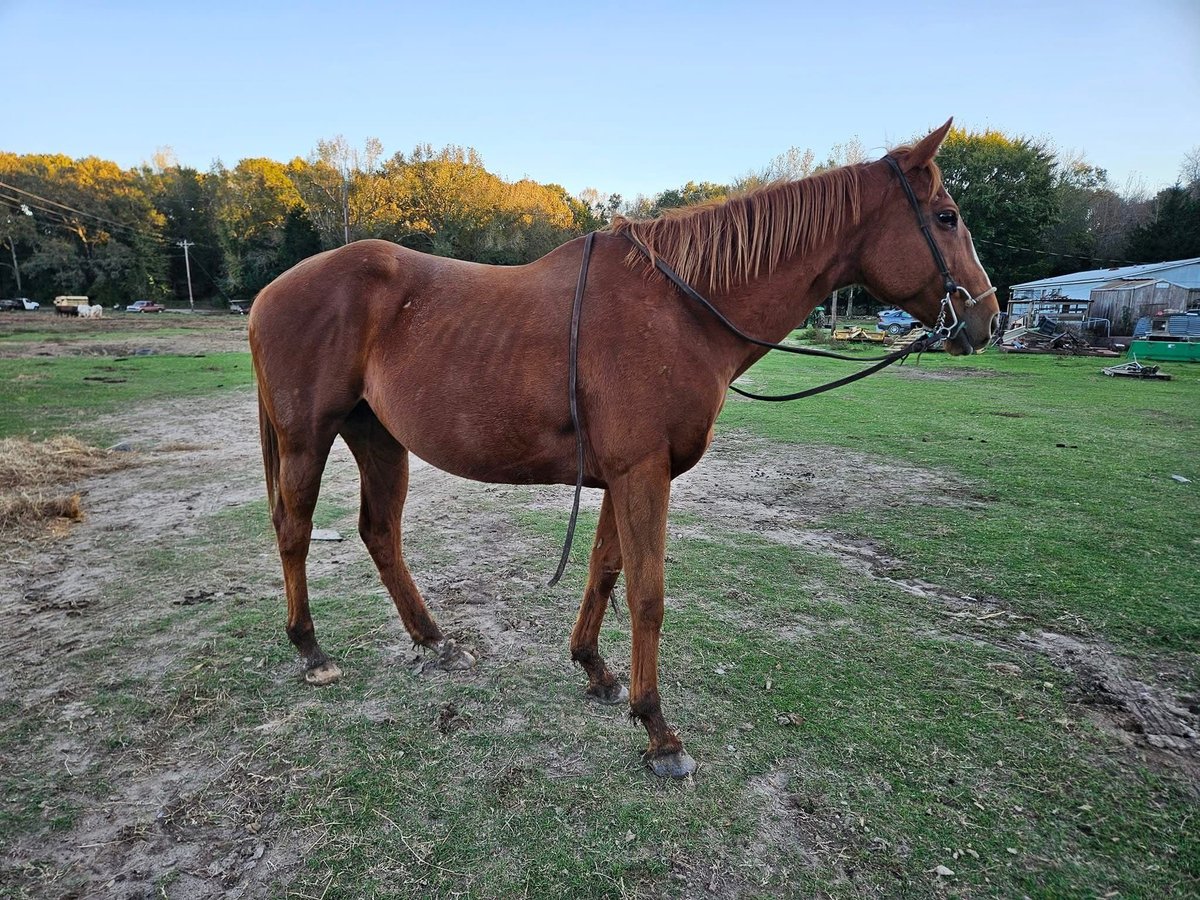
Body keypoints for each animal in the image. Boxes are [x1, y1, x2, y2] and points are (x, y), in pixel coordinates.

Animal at [248, 121, 998, 782]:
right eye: (947, 216)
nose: (988, 318)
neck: (680, 310)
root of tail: (269, 293)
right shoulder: (643, 474)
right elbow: (647, 595)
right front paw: (659, 731)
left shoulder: (622, 476)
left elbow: (605, 571)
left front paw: (596, 671)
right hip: (308, 439)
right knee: (294, 531)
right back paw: (311, 650)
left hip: (378, 438)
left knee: (380, 533)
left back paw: (434, 640)